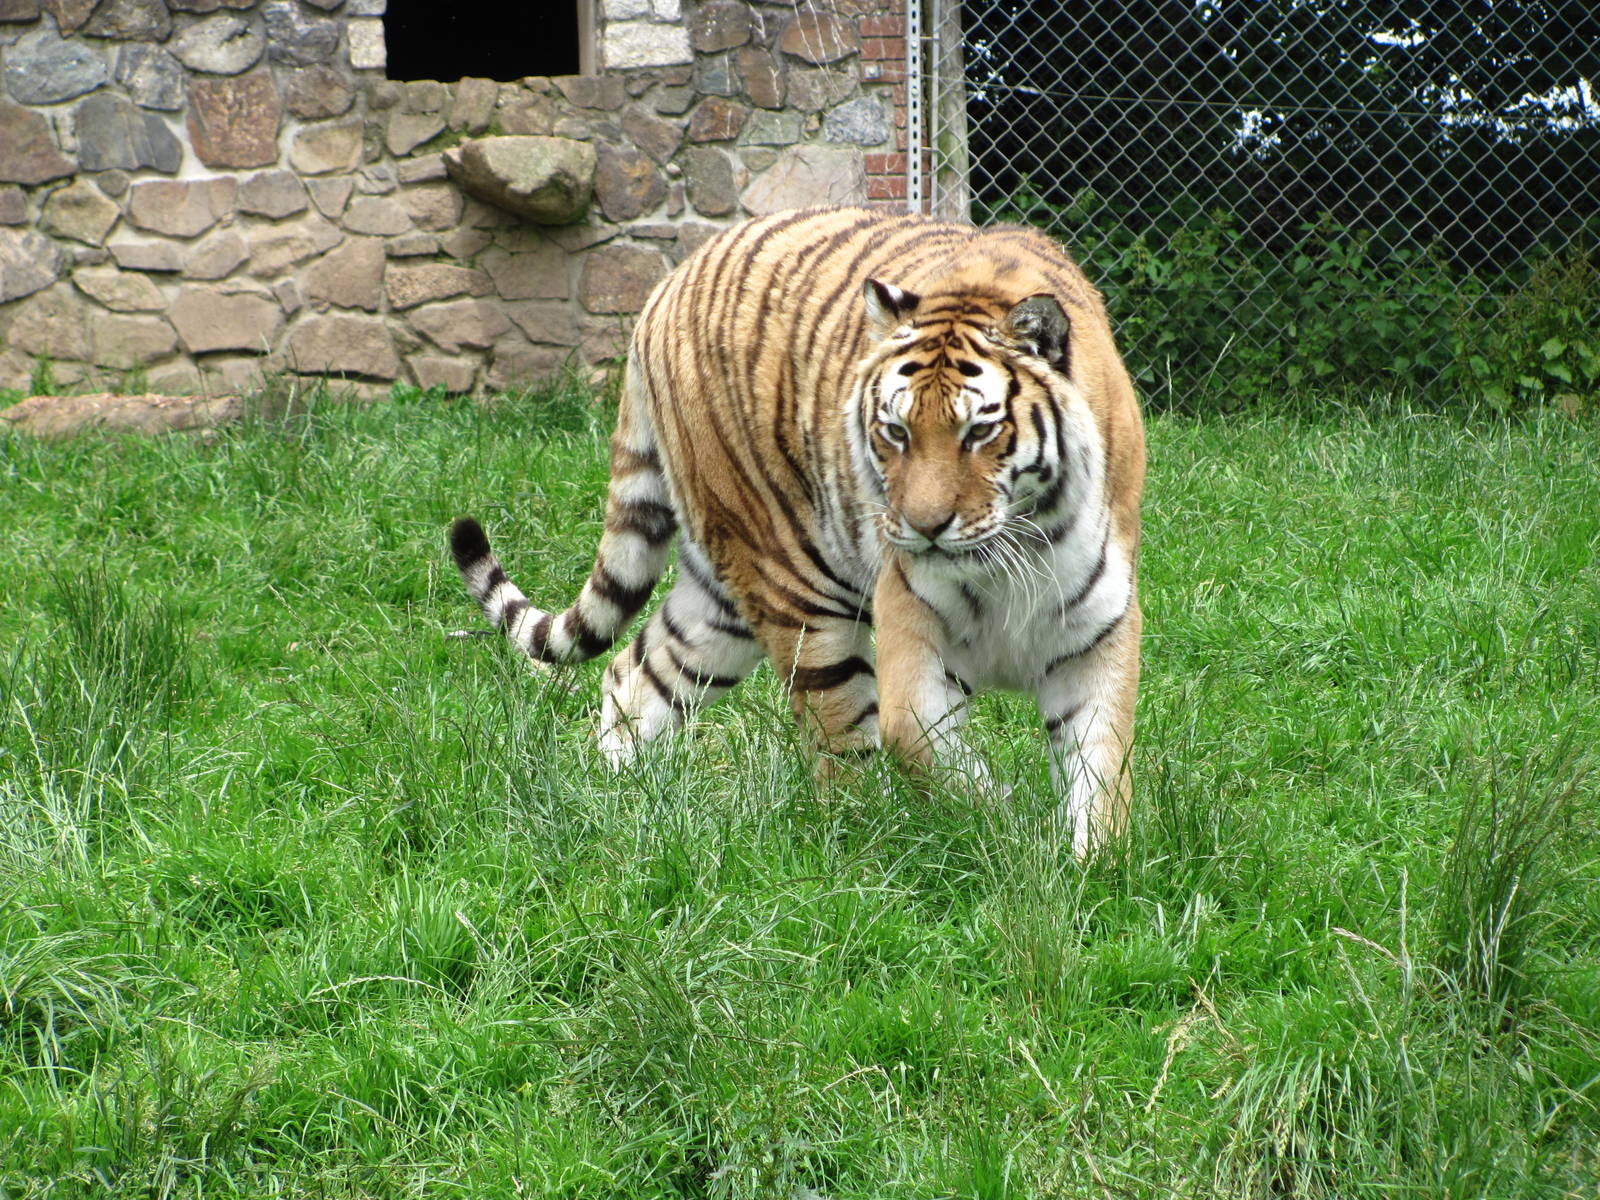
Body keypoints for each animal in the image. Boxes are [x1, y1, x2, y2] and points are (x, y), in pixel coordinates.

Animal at [450, 206, 1145, 855]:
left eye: (979, 432)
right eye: (896, 431)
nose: (924, 529)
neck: (1010, 555)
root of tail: (666, 285)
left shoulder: (1097, 627)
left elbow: (1100, 764)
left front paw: (1089, 865)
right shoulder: (910, 614)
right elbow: (915, 737)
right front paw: (1001, 826)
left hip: (719, 608)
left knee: (635, 671)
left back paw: (618, 799)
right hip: (794, 584)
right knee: (840, 749)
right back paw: (870, 839)